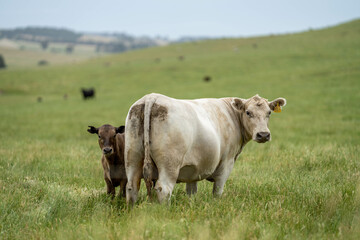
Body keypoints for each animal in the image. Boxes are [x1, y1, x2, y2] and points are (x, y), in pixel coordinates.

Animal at [124, 93, 286, 204]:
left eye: (269, 113)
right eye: (248, 112)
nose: (263, 134)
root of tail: (151, 97)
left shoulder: (192, 170)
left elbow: (191, 192)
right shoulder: (226, 163)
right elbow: (217, 191)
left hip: (132, 159)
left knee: (132, 187)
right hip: (169, 165)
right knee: (164, 189)